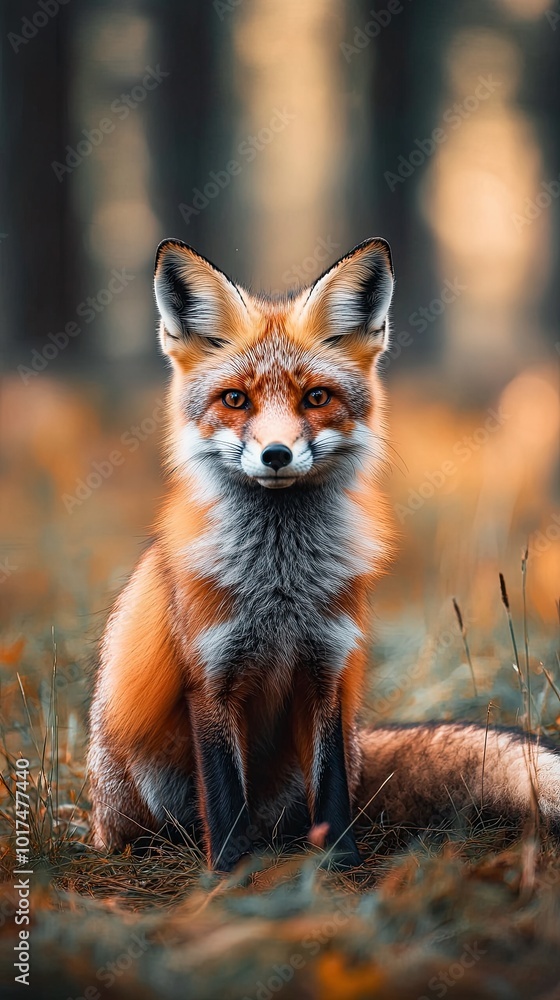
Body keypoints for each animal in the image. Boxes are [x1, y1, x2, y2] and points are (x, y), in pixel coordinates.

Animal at [88, 237, 560, 870]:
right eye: (235, 399)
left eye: (316, 397)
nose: (277, 454)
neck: (281, 587)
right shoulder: (209, 679)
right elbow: (224, 791)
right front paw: (228, 872)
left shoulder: (328, 668)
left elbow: (331, 786)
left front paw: (341, 862)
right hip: (140, 784)